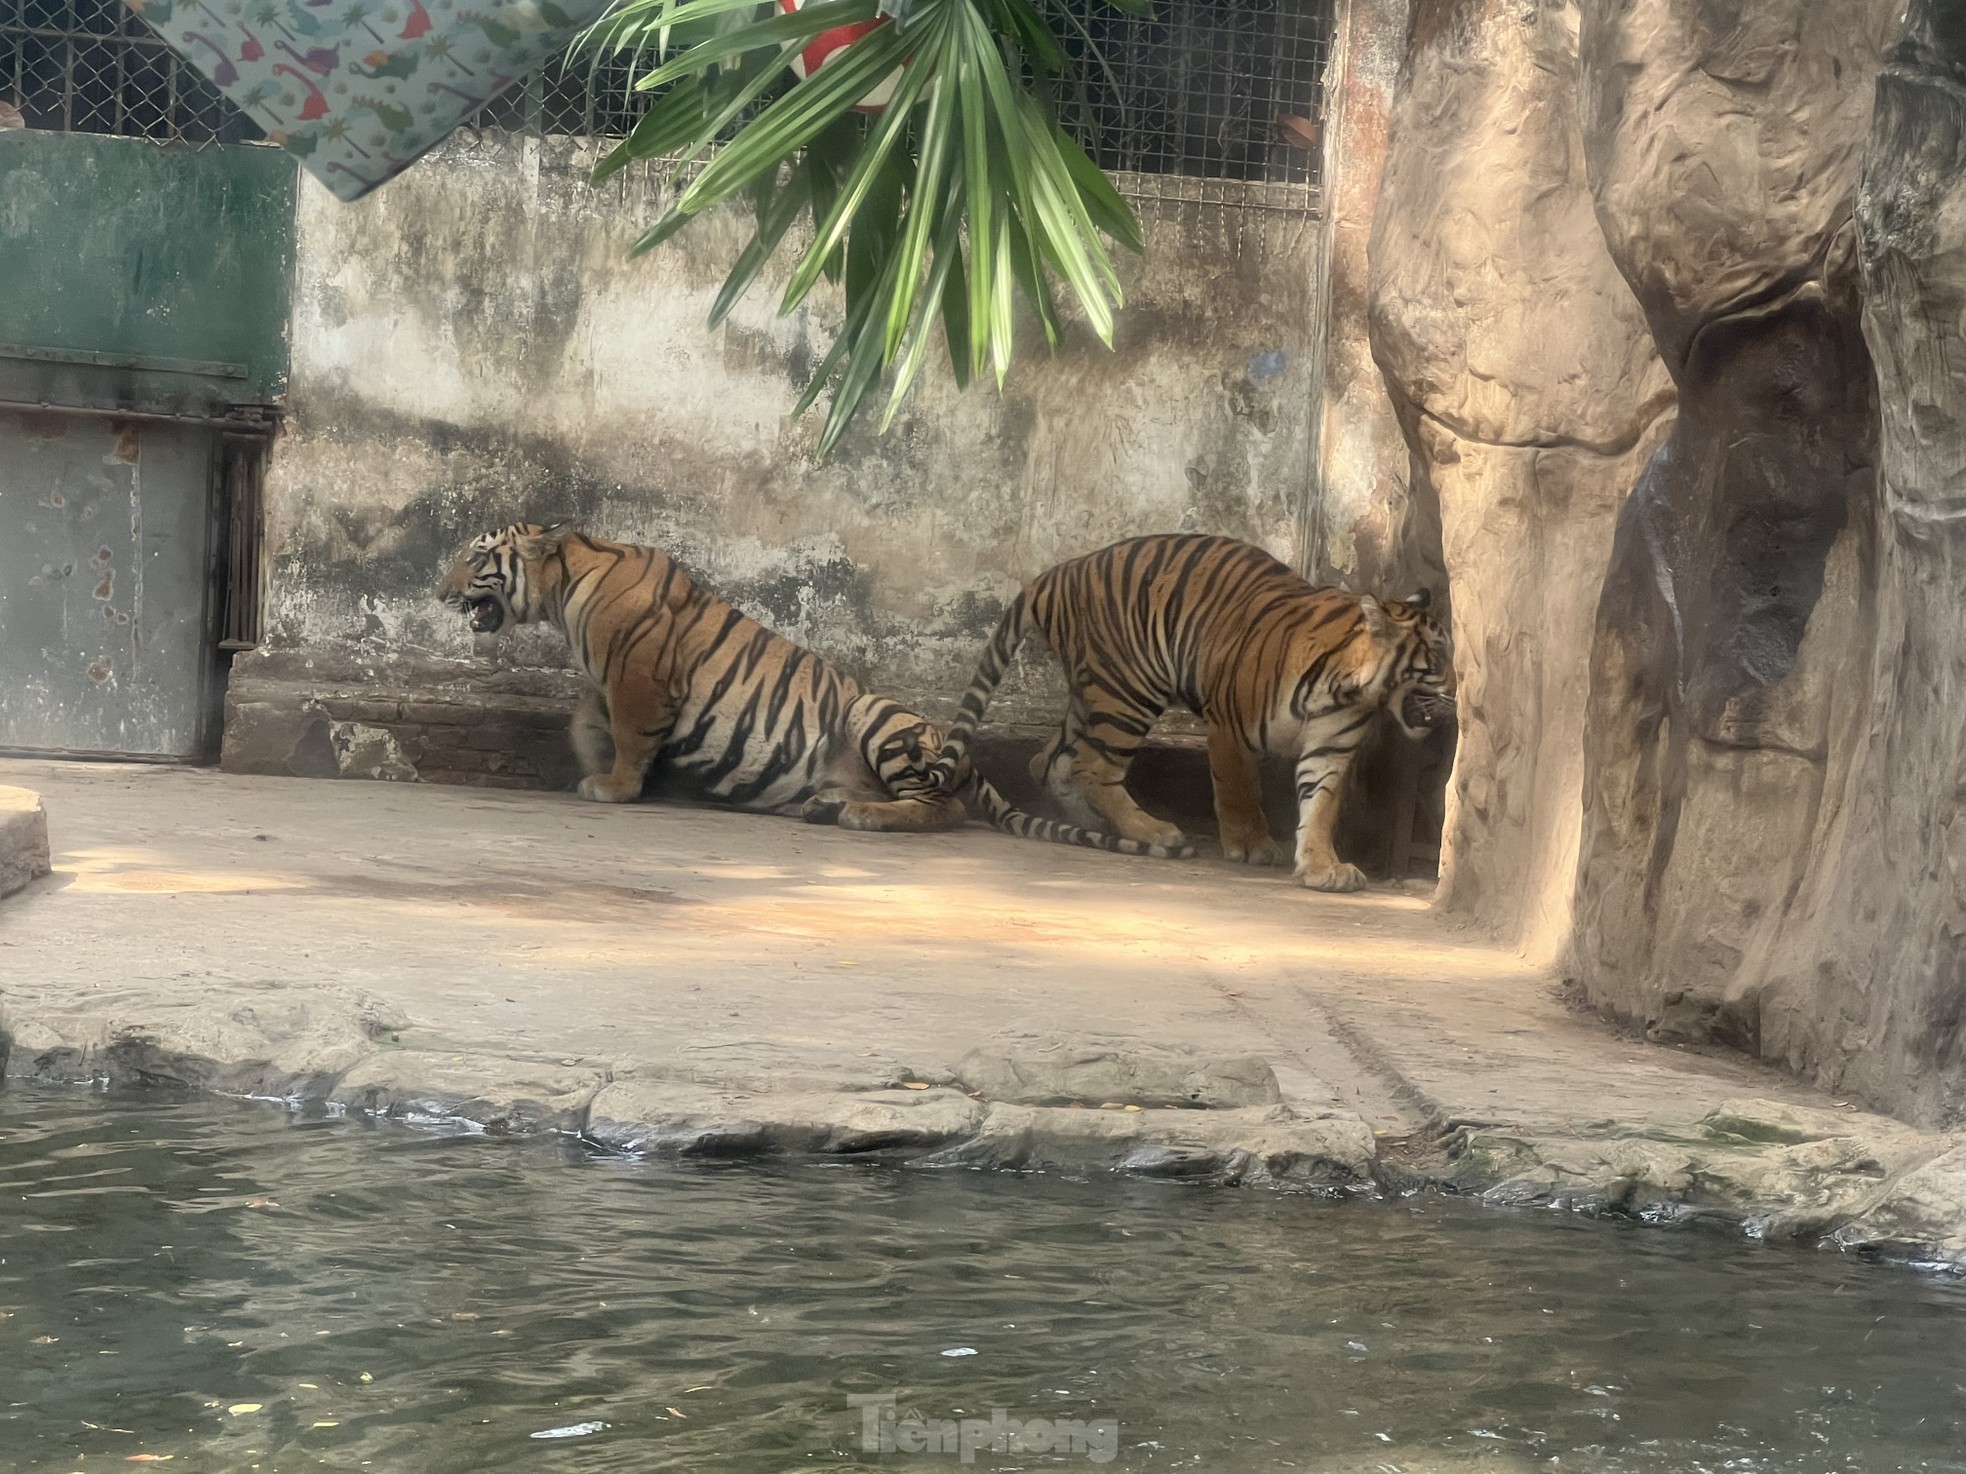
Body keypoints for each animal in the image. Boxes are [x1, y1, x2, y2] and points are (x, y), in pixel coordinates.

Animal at [438, 526, 1187, 860]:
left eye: (476, 556)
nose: (440, 591)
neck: (564, 586)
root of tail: (959, 747)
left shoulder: (641, 677)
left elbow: (628, 735)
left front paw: (613, 786)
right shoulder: (613, 682)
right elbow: (584, 719)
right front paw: (594, 763)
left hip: (877, 717)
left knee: (941, 808)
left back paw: (863, 818)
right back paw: (828, 807)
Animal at [924, 538, 1462, 896]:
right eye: (1437, 658)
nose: (1460, 691)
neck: (1350, 687)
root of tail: (1057, 572)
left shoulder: (1331, 747)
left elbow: (1321, 806)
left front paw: (1322, 867)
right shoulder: (1230, 725)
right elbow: (1239, 790)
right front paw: (1253, 846)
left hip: (1092, 696)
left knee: (1053, 762)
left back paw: (1097, 826)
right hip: (1129, 690)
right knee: (1093, 767)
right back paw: (1152, 830)